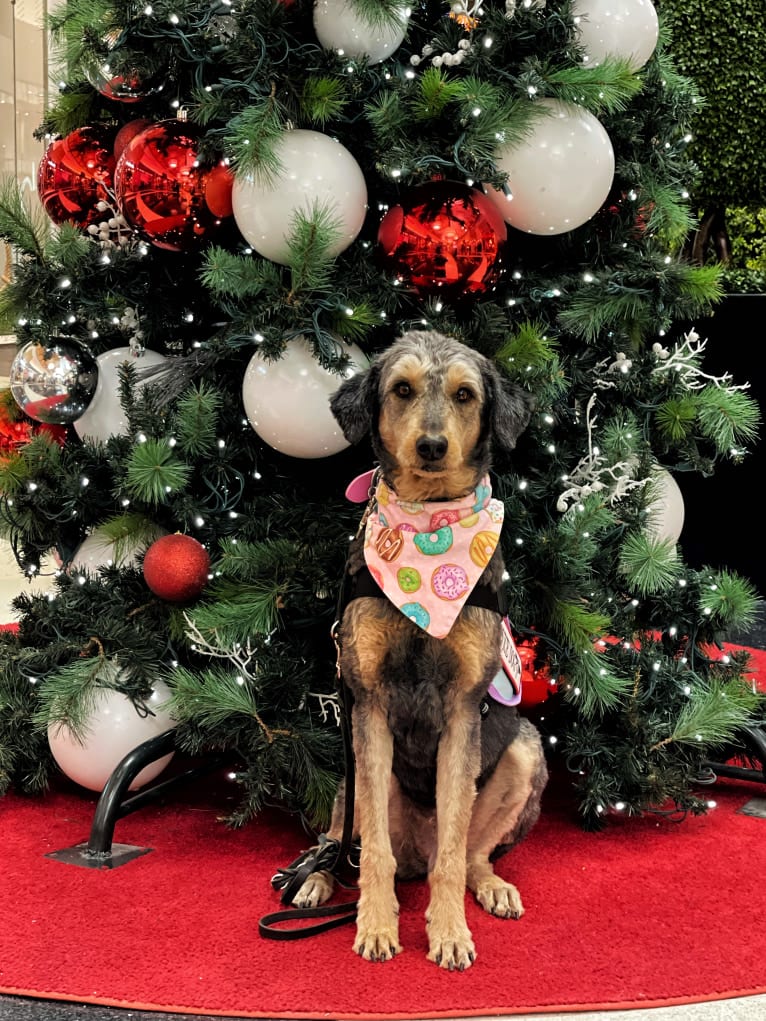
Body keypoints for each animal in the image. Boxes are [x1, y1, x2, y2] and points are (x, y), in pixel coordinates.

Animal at [290, 330, 547, 967]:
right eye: (402, 389)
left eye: (465, 394)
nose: (431, 446)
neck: (430, 530)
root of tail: (416, 853)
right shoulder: (369, 704)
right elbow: (374, 854)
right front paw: (378, 926)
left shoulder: (462, 711)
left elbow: (454, 855)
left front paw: (449, 931)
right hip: (354, 774)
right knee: (343, 844)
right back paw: (315, 880)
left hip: (524, 750)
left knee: (467, 855)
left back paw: (491, 885)